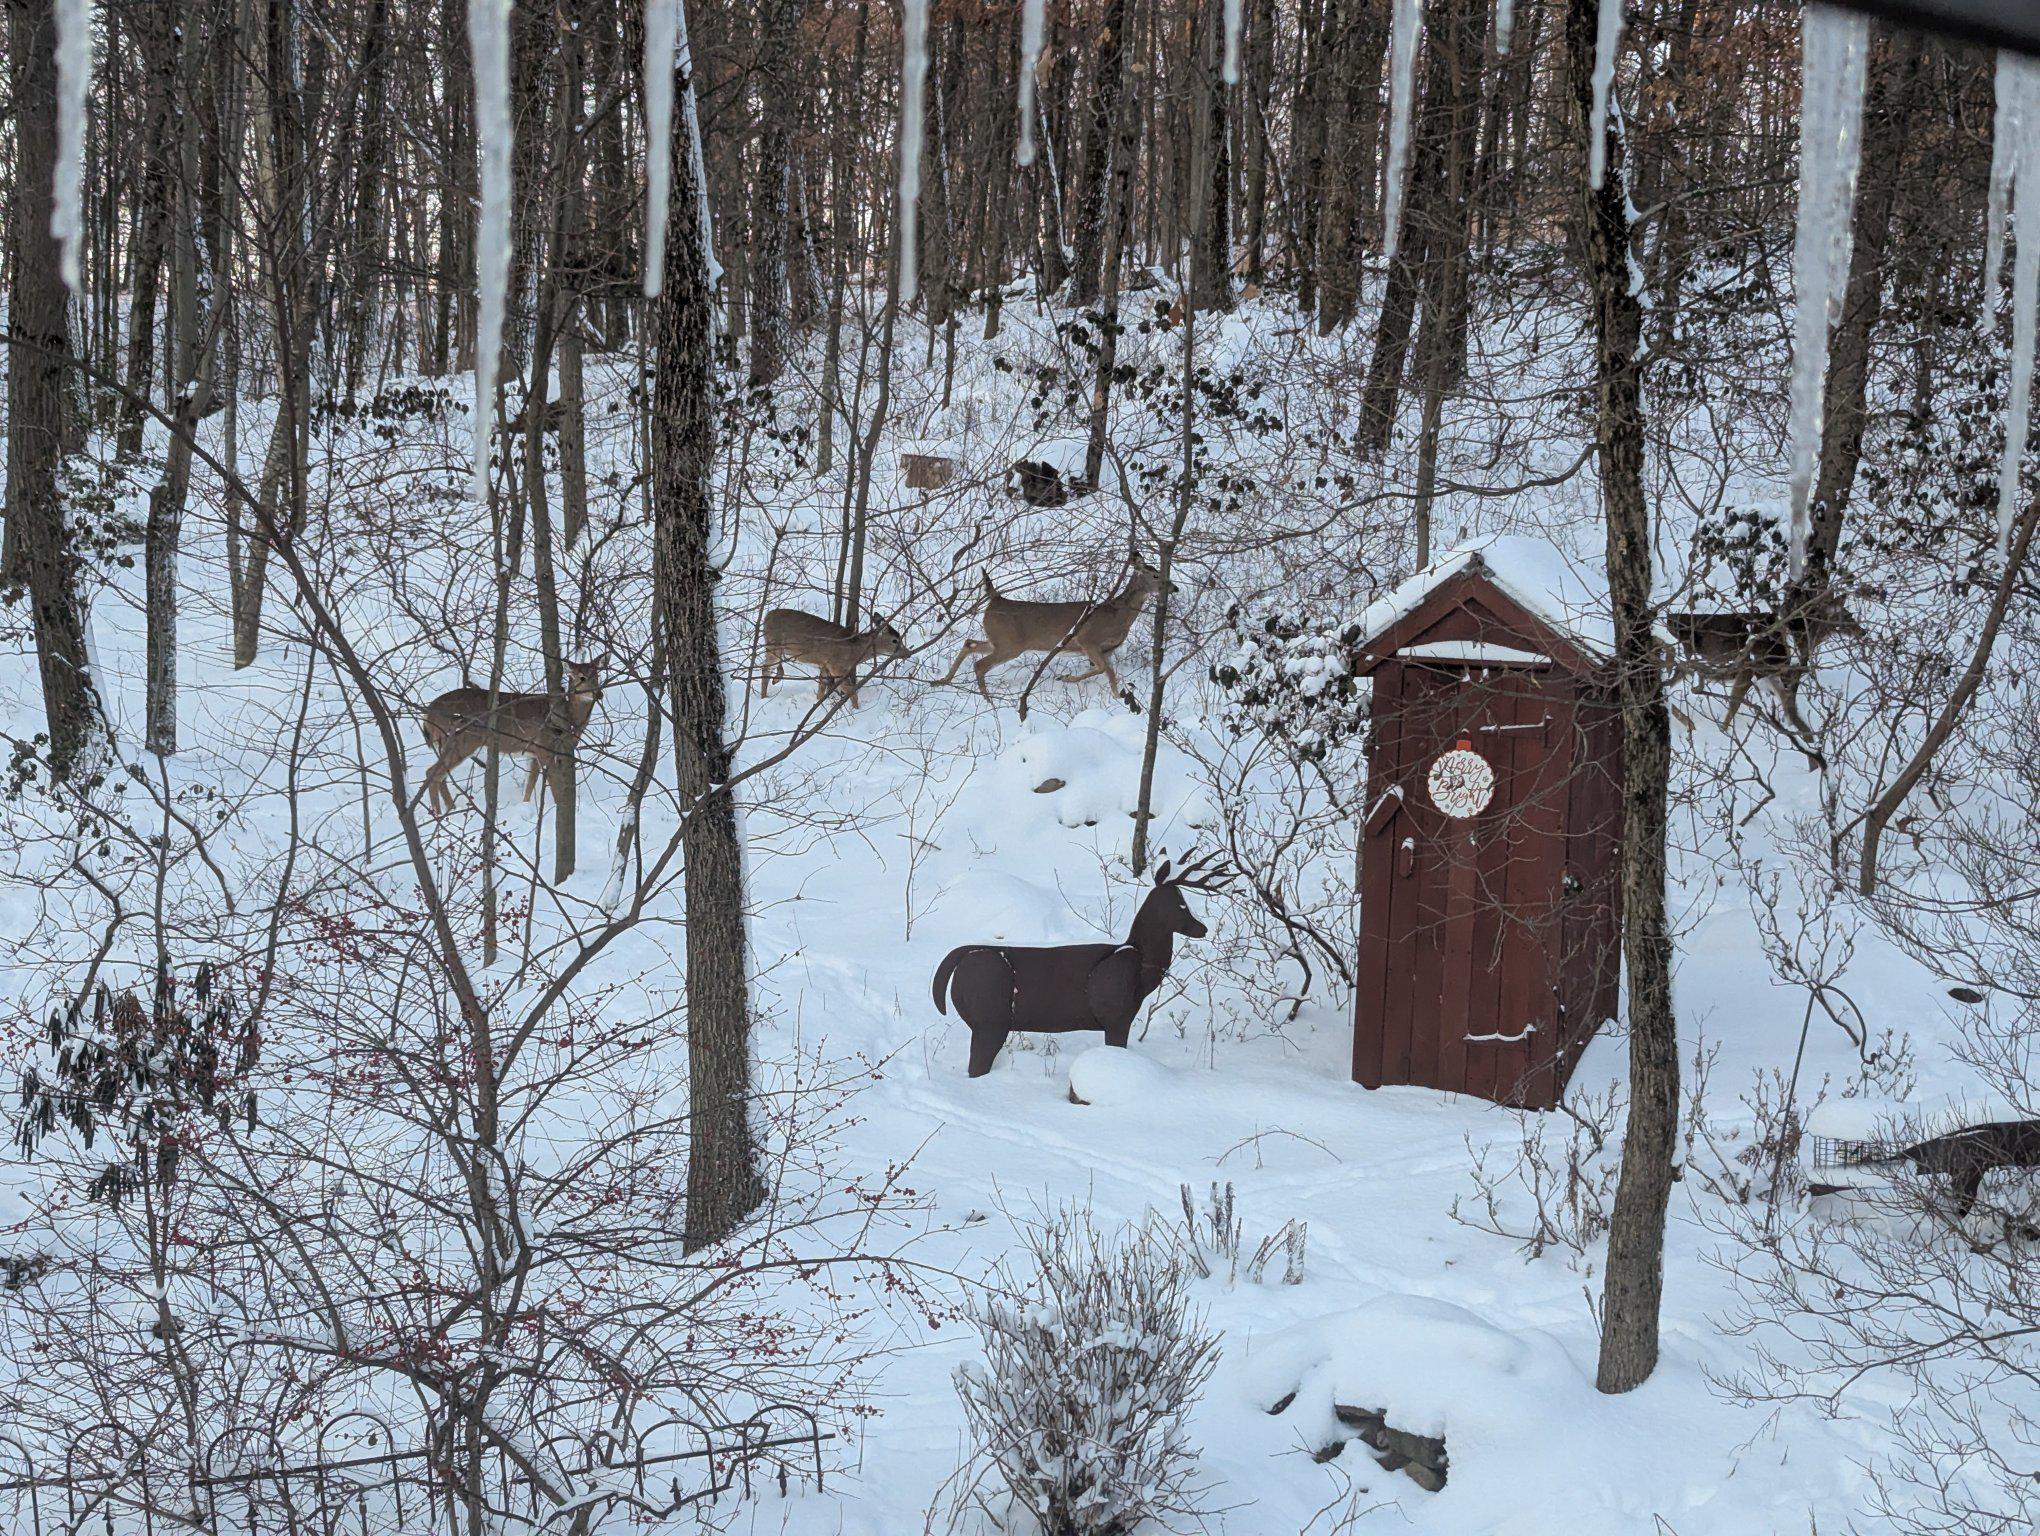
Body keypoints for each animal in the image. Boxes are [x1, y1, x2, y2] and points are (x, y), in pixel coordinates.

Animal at [419, 656, 606, 816]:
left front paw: (525, 805)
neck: (568, 720)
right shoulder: (545, 746)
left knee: (440, 775)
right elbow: (553, 783)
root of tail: (428, 714)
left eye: (597, 675)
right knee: (432, 773)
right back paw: (439, 814)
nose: (599, 694)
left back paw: (451, 809)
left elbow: (530, 783)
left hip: (449, 742)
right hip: (462, 740)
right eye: (581, 677)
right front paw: (559, 808)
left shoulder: (534, 751)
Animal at [758, 609, 908, 708]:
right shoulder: (837, 666)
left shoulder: (825, 665)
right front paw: (856, 709)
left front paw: (817, 704)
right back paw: (764, 697)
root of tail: (766, 616)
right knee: (765, 668)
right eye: (895, 640)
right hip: (774, 644)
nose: (907, 652)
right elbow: (851, 691)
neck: (854, 650)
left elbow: (821, 687)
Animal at [932, 852, 1237, 1077]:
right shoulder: (1115, 1015)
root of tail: (957, 960)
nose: (1202, 928)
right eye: (1180, 904)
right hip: (990, 1017)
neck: (1139, 968)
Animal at [940, 554, 1173, 701]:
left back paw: (943, 680)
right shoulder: (1087, 640)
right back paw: (988, 701)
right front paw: (1069, 679)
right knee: (979, 664)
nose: (1175, 587)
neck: (1119, 615)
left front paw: (1114, 696)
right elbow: (1106, 670)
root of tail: (995, 599)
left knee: (969, 643)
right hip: (1010, 645)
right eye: (1156, 575)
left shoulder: (1106, 649)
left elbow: (1106, 671)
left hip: (999, 641)